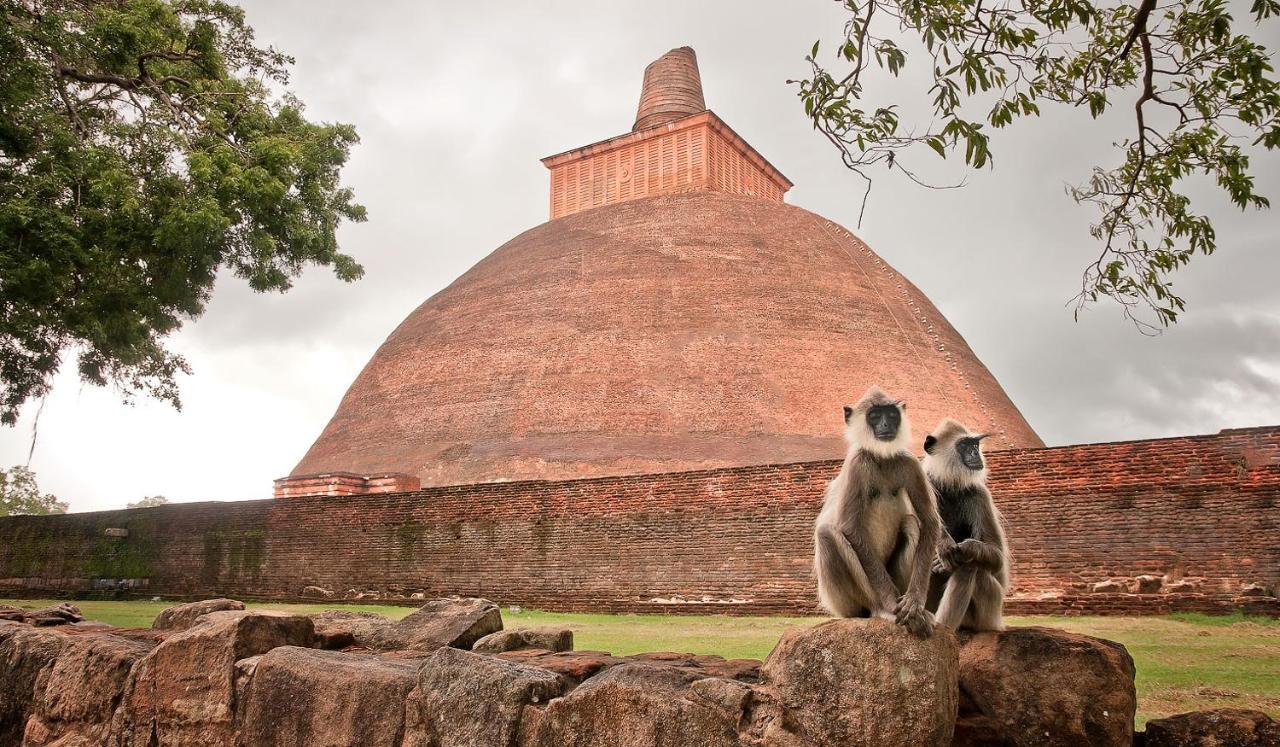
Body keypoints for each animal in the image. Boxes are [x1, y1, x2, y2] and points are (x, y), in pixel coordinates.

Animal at [814, 386, 947, 636]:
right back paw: (881, 609)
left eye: (891, 415)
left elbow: (929, 521)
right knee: (826, 533)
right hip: (843, 604)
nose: (886, 425)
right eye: (875, 416)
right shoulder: (857, 464)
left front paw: (915, 603)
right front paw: (890, 605)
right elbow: (850, 528)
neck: (882, 457)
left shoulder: (910, 463)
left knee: (910, 524)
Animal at [921, 419, 1008, 629]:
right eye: (964, 445)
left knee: (972, 566)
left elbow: (997, 558)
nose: (975, 453)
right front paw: (943, 543)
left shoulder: (979, 494)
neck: (948, 484)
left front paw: (965, 548)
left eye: (975, 445)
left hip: (989, 614)